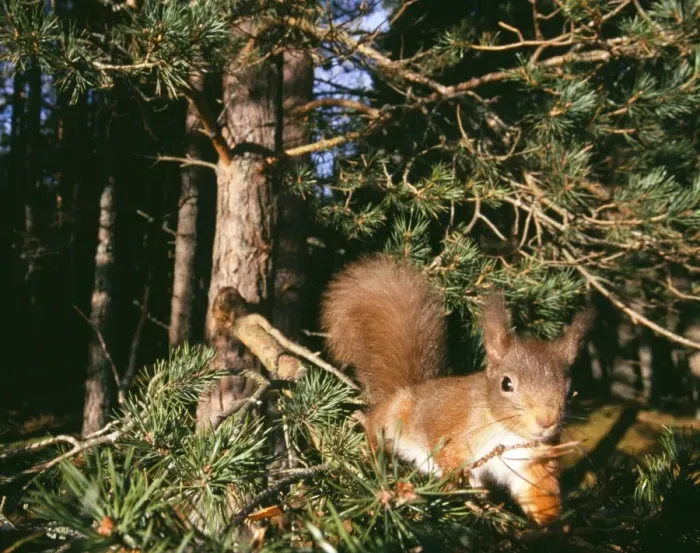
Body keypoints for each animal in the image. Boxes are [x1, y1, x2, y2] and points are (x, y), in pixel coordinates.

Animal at [321, 255, 594, 525]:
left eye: (569, 390)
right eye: (506, 384)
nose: (546, 420)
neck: (507, 432)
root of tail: (406, 388)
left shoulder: (531, 460)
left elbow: (537, 491)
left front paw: (553, 523)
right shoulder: (458, 434)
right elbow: (449, 457)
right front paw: (457, 485)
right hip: (394, 418)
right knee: (374, 424)